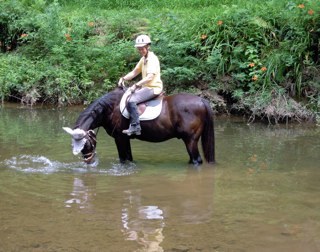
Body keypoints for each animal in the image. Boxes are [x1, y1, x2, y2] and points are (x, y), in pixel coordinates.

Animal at [62, 87, 215, 165]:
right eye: (73, 145)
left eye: (86, 144)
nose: (88, 161)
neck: (110, 108)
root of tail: (201, 101)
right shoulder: (125, 138)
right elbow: (129, 158)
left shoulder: (120, 138)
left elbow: (123, 160)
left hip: (190, 140)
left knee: (196, 160)